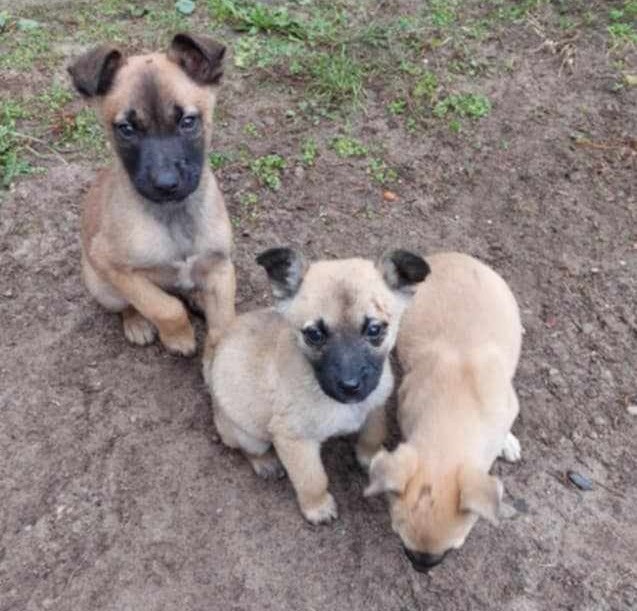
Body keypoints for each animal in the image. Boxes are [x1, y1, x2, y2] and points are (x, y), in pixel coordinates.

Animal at [67, 33, 236, 356]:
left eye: (188, 121)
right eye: (126, 129)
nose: (166, 184)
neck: (173, 214)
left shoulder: (221, 267)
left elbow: (223, 329)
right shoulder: (114, 267)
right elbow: (163, 306)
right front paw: (179, 338)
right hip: (102, 286)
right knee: (128, 306)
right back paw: (137, 324)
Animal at [206, 246, 430, 524]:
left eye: (374, 329)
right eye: (314, 334)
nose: (350, 385)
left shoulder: (375, 406)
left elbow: (374, 433)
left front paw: (370, 456)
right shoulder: (295, 440)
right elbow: (312, 479)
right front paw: (318, 507)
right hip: (246, 433)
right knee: (250, 449)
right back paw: (266, 462)